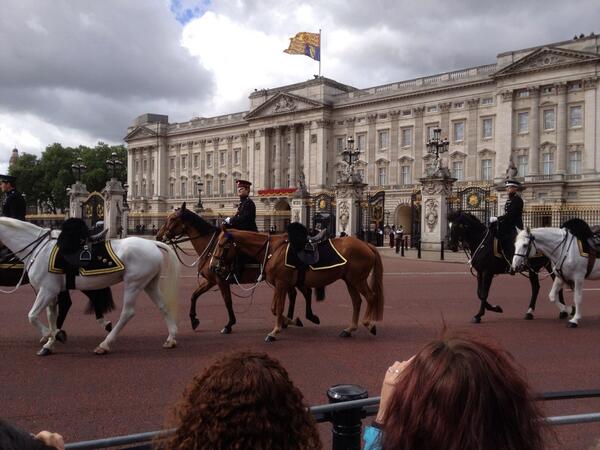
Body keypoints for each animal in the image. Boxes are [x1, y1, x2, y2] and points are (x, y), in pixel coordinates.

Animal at [0, 218, 179, 356]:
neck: (37, 249)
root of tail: (152, 243)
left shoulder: (47, 290)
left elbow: (32, 316)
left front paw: (52, 336)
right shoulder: (51, 291)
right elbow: (51, 317)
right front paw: (50, 342)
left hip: (133, 284)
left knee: (127, 313)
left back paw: (104, 344)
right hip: (149, 283)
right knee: (163, 306)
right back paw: (171, 338)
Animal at [157, 204, 322, 334]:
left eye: (172, 219)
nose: (158, 236)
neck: (211, 248)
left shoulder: (221, 280)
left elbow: (227, 301)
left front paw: (229, 325)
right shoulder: (211, 280)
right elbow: (194, 295)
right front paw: (193, 320)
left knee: (304, 292)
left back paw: (307, 317)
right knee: (294, 294)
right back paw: (289, 319)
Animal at [209, 229, 382, 342]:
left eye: (223, 245)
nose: (213, 267)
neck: (273, 250)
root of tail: (366, 244)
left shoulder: (281, 284)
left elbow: (278, 308)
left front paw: (275, 331)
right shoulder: (280, 285)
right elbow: (274, 308)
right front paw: (291, 321)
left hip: (358, 280)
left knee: (371, 297)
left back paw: (369, 324)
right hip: (349, 281)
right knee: (357, 301)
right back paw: (349, 329)